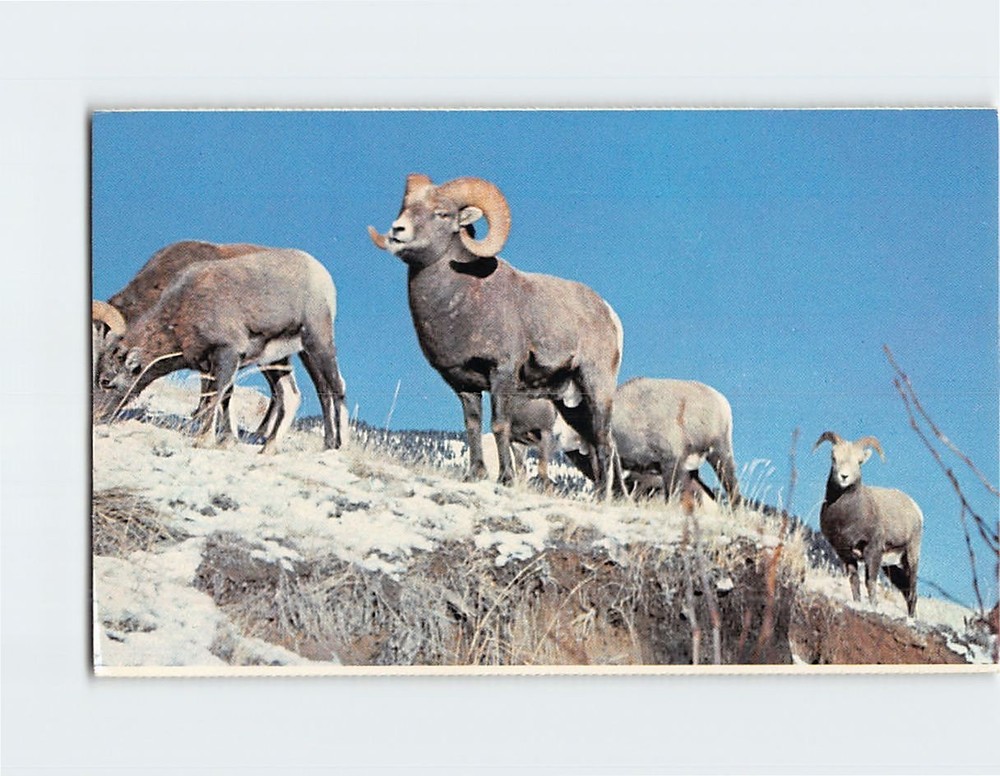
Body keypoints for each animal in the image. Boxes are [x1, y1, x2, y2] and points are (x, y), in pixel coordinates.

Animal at [96, 248, 345, 454]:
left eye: (106, 382)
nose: (97, 415)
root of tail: (320, 272)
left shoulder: (227, 355)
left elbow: (216, 397)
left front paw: (204, 440)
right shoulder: (210, 366)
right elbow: (221, 398)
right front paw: (225, 440)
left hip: (317, 344)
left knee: (334, 387)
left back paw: (336, 445)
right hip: (276, 360)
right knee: (290, 395)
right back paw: (268, 448)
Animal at [367, 174, 623, 496]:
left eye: (442, 214)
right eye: (405, 208)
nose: (397, 231)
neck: (462, 300)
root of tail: (609, 313)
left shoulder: (501, 374)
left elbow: (499, 425)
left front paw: (506, 478)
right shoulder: (463, 384)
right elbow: (472, 426)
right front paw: (474, 474)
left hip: (595, 386)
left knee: (603, 439)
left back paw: (602, 495)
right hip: (570, 404)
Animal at [813, 431, 923, 616]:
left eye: (859, 462)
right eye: (834, 457)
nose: (844, 477)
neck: (847, 519)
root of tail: (915, 508)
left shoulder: (873, 550)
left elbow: (870, 582)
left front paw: (873, 607)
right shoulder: (846, 554)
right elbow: (854, 581)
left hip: (911, 556)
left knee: (912, 591)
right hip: (891, 566)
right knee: (906, 590)